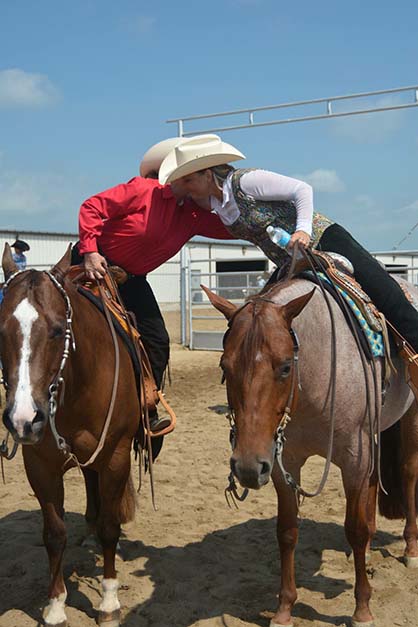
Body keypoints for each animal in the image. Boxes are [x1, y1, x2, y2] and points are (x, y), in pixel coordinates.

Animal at [0, 247, 140, 627]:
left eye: (58, 330)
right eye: (0, 330)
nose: (22, 419)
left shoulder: (116, 456)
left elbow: (111, 527)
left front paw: (108, 602)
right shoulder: (40, 466)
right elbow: (54, 534)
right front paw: (55, 606)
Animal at [204, 280, 418, 627]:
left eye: (285, 367)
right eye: (225, 366)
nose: (247, 467)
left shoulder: (354, 458)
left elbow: (355, 529)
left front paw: (362, 609)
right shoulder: (283, 462)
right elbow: (287, 531)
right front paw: (284, 609)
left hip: (410, 416)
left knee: (408, 472)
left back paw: (411, 548)